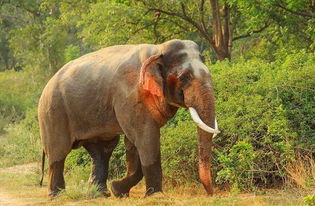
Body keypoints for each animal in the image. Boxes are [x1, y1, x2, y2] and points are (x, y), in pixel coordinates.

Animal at [38, 39, 220, 198]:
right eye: (184, 77)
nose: (211, 194)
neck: (157, 50)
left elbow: (133, 143)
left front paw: (118, 190)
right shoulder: (129, 96)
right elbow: (146, 138)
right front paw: (154, 196)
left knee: (103, 150)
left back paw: (101, 194)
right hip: (53, 113)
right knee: (58, 152)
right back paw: (56, 196)